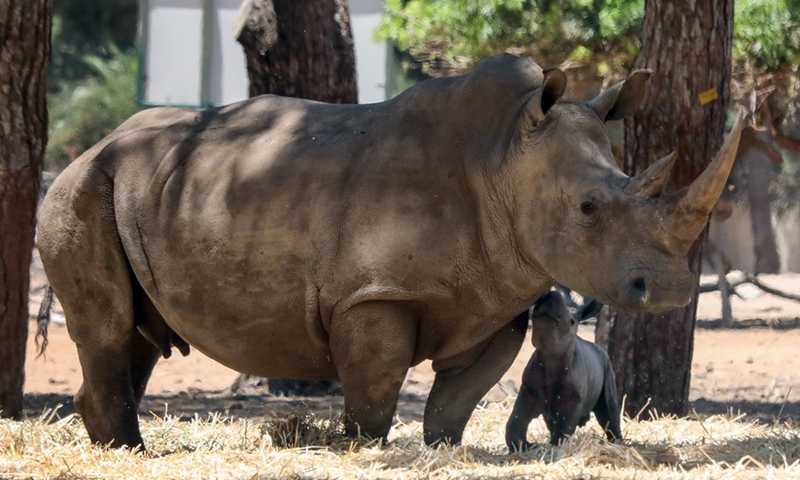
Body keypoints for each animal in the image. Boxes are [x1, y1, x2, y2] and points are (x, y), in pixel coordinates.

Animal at [506, 292, 620, 451]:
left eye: (572, 322)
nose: (552, 294)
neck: (551, 356)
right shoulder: (528, 391)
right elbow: (516, 420)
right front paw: (528, 447)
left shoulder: (572, 399)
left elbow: (564, 427)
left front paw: (555, 447)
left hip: (607, 367)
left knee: (609, 411)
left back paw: (617, 443)